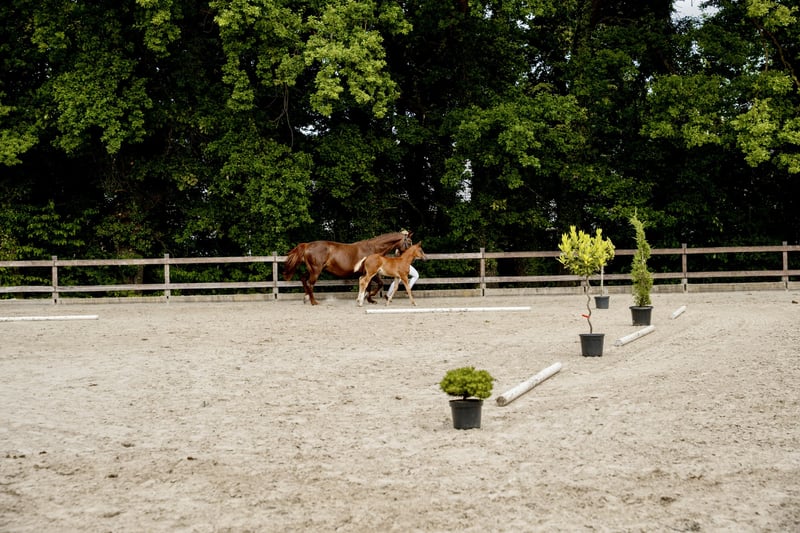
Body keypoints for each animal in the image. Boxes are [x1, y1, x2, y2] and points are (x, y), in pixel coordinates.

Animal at [283, 231, 413, 305]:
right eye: (410, 242)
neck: (373, 249)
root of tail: (307, 245)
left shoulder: (368, 273)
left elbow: (369, 286)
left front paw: (369, 299)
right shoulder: (371, 273)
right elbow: (378, 284)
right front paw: (368, 297)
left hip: (311, 270)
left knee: (303, 279)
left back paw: (306, 298)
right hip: (316, 270)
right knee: (310, 284)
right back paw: (314, 302)